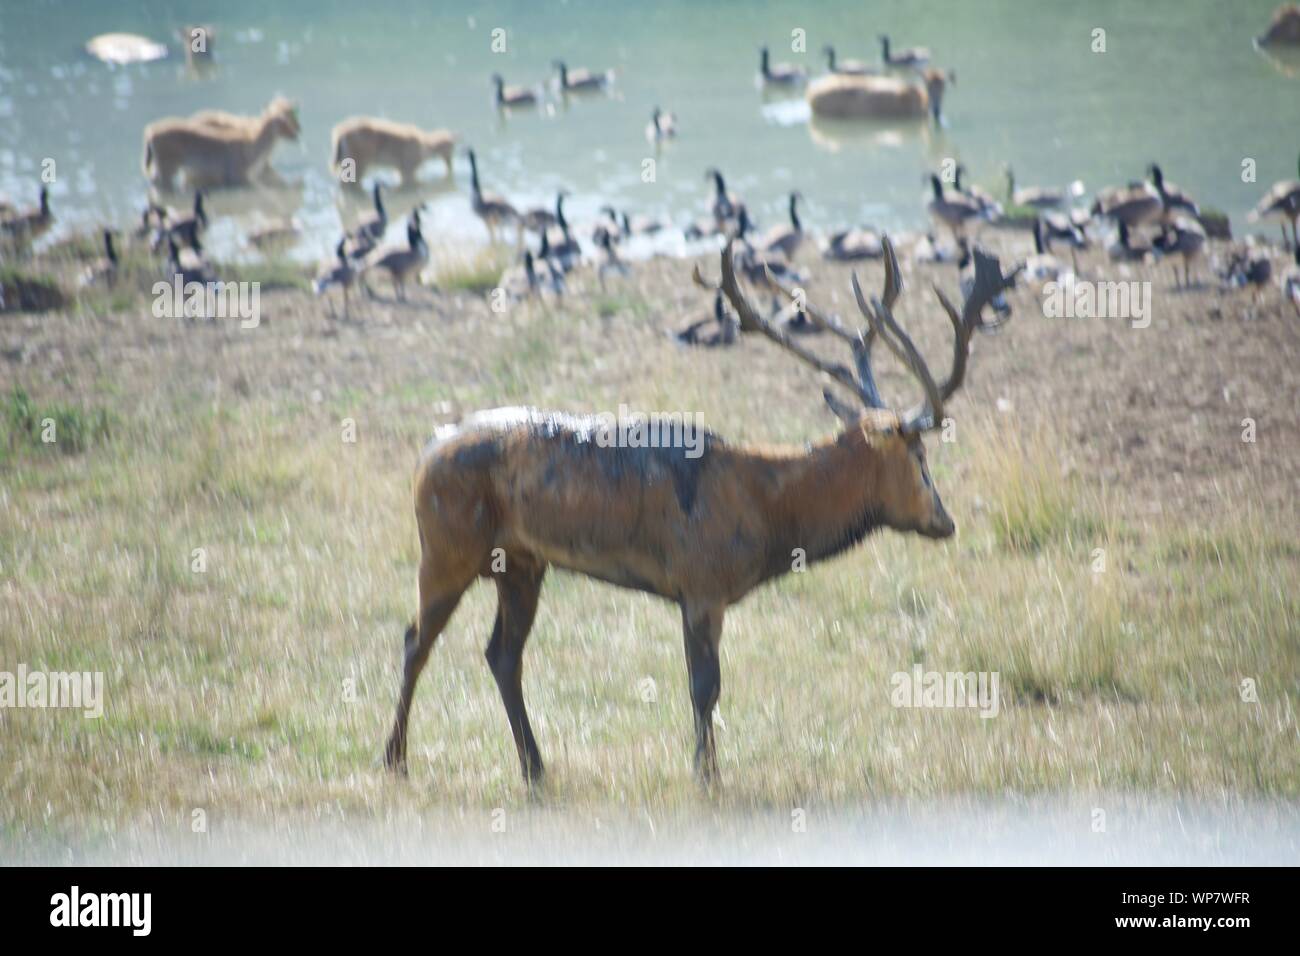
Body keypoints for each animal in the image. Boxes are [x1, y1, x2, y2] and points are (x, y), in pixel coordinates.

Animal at [383, 236, 1021, 786]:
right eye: (921, 457)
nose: (945, 521)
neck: (768, 514)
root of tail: (421, 456)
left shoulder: (693, 591)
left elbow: (701, 685)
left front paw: (703, 768)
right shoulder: (702, 583)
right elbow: (704, 687)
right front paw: (708, 776)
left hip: (521, 563)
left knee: (501, 654)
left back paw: (535, 768)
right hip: (446, 546)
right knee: (416, 639)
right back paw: (395, 759)